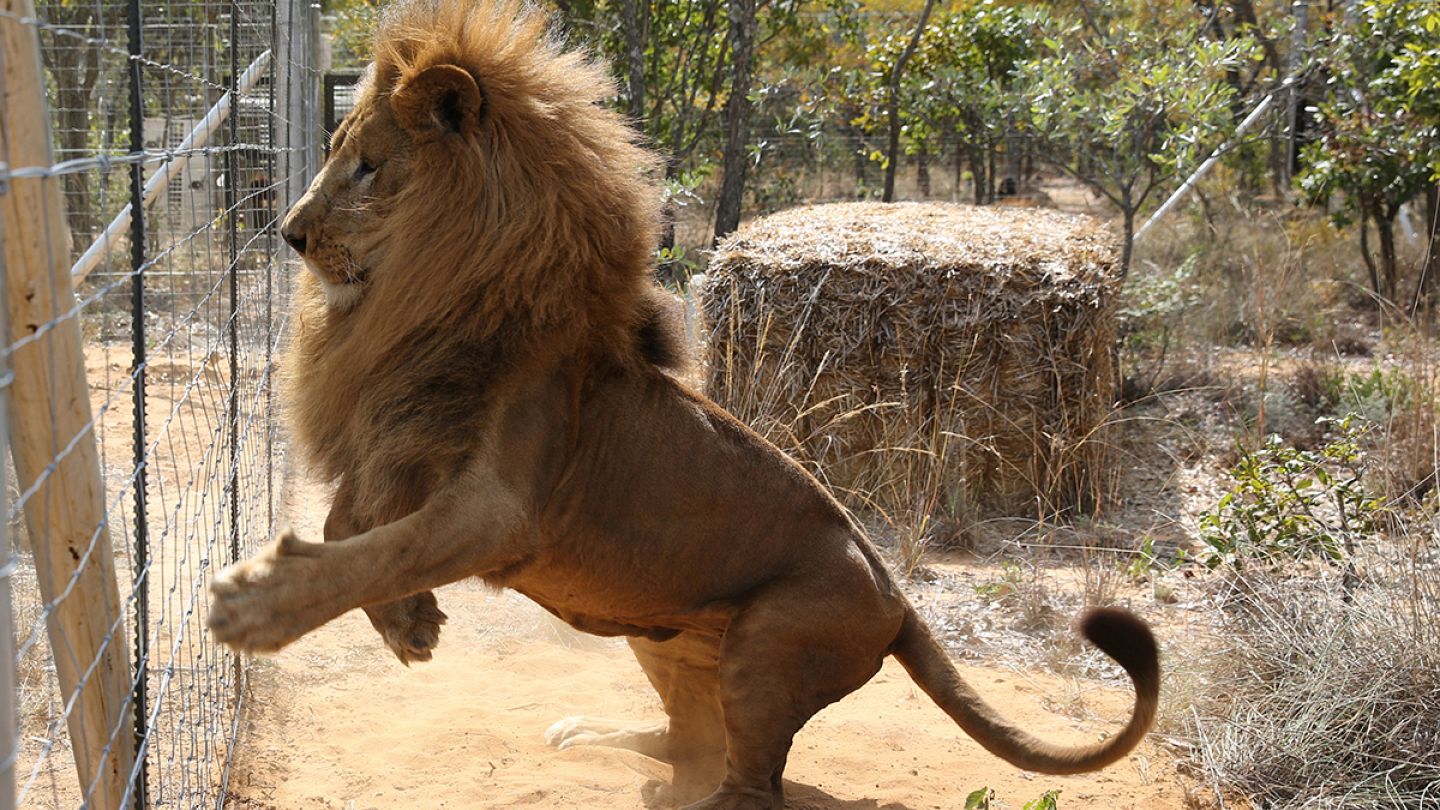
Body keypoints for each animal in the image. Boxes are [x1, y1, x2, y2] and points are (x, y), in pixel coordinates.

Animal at [208, 1, 1163, 807]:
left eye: (367, 167)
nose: (290, 234)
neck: (423, 300)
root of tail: (897, 595)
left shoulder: (500, 507)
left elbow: (381, 551)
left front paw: (259, 605)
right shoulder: (402, 435)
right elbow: (348, 527)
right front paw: (409, 626)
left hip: (772, 646)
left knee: (751, 785)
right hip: (660, 637)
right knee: (686, 743)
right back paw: (587, 736)